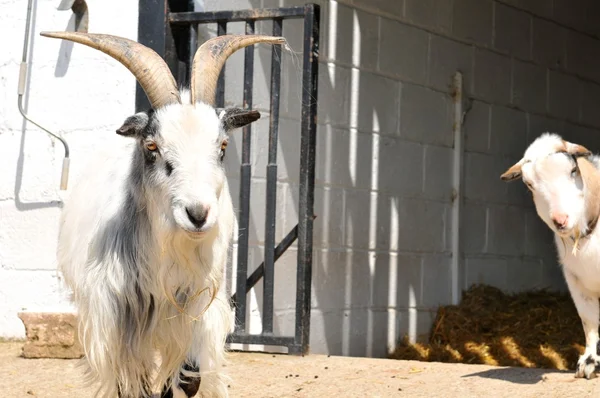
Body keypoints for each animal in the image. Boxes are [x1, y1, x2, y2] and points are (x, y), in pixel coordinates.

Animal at [42, 31, 286, 398]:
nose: (197, 214)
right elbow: (131, 381)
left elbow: (189, 377)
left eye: (223, 147)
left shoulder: (198, 308)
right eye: (152, 147)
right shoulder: (118, 317)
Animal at [502, 133, 600, 380]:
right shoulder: (575, 279)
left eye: (573, 170)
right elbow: (589, 320)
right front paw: (589, 362)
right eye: (529, 184)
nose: (560, 220)